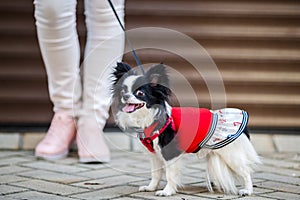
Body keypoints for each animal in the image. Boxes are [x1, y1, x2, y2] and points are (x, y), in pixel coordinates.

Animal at [110, 62, 260, 197]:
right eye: (123, 91)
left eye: (140, 93)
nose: (125, 96)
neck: (149, 118)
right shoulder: (155, 155)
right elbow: (156, 173)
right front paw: (151, 187)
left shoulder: (170, 153)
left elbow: (170, 174)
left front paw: (167, 191)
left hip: (231, 154)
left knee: (246, 171)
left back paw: (247, 191)